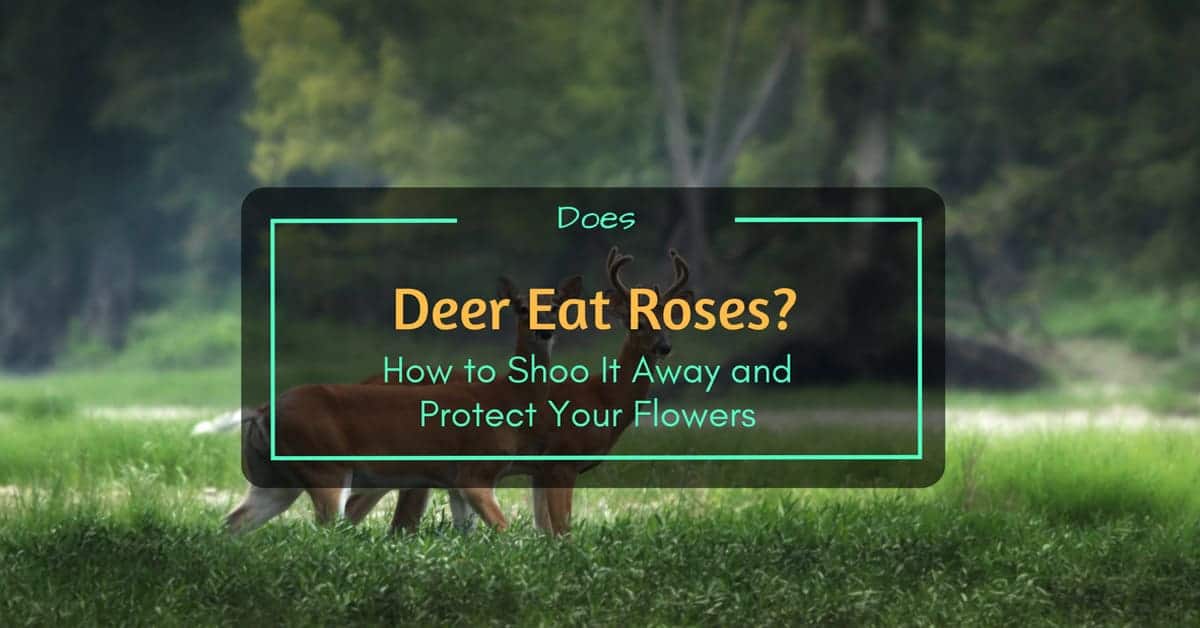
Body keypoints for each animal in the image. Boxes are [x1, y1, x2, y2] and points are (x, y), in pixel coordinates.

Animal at [224, 275, 583, 535]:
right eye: (521, 308)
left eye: (557, 306)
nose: (545, 331)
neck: (506, 398)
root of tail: (261, 411)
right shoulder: (475, 471)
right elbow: (504, 532)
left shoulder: (454, 481)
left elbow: (468, 535)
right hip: (326, 467)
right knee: (326, 530)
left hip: (275, 478)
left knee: (233, 522)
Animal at [356, 247, 692, 536]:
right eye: (637, 322)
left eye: (669, 321)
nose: (664, 347)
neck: (603, 397)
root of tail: (365, 382)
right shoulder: (561, 460)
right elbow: (562, 529)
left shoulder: (538, 471)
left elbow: (544, 529)